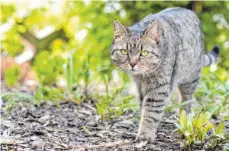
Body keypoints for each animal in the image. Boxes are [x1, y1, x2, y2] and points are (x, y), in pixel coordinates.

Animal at [110, 7, 219, 142]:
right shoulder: (140, 88)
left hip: (190, 78)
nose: (132, 63)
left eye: (144, 53)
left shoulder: (159, 88)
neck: (143, 77)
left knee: (186, 100)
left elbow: (151, 112)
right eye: (124, 51)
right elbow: (143, 108)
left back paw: (182, 117)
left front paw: (145, 133)